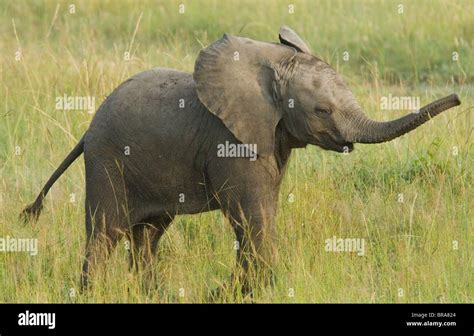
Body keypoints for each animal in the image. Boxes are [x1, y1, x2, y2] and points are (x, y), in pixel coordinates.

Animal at [21, 25, 460, 294]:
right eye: (321, 111)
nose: (457, 98)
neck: (270, 70)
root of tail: (86, 131)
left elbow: (263, 212)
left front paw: (237, 291)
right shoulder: (230, 142)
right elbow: (251, 216)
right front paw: (246, 292)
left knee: (148, 235)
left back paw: (154, 294)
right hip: (106, 158)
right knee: (105, 231)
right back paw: (92, 292)